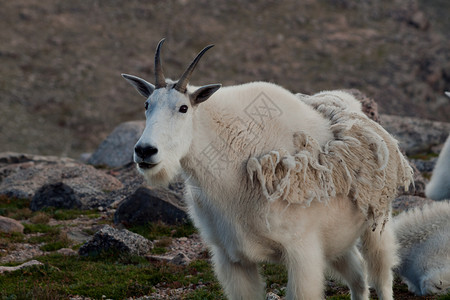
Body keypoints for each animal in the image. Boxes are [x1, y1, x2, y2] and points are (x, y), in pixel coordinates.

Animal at [121, 39, 414, 300]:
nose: (145, 151)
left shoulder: (301, 251)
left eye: (183, 108)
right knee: (358, 279)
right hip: (338, 240)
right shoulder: (232, 257)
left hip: (376, 223)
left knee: (381, 276)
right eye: (147, 105)